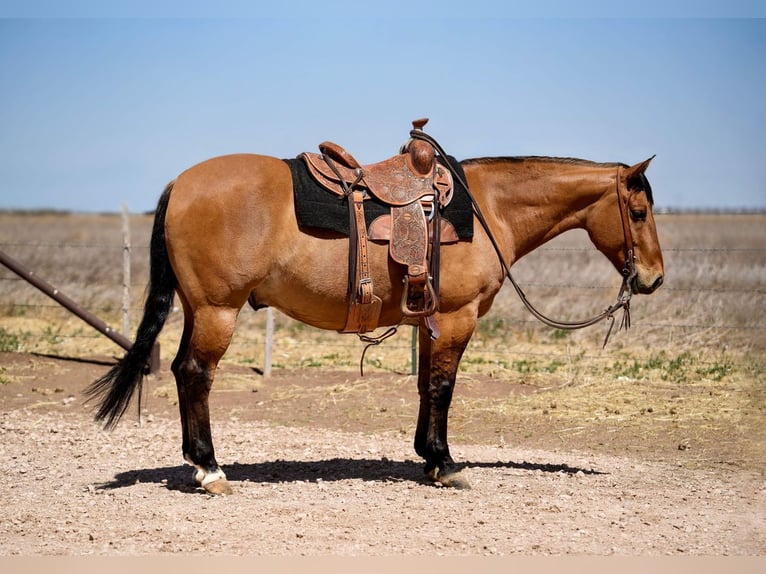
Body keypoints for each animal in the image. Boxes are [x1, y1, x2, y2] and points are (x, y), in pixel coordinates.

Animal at [86, 136, 664, 495]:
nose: (653, 278)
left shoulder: (431, 321)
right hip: (217, 310)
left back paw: (196, 463)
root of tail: (181, 184)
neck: (487, 210)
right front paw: (446, 464)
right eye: (637, 212)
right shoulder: (458, 317)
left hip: (198, 308)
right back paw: (209, 469)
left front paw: (427, 455)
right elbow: (443, 387)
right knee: (195, 375)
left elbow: (426, 385)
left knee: (184, 373)